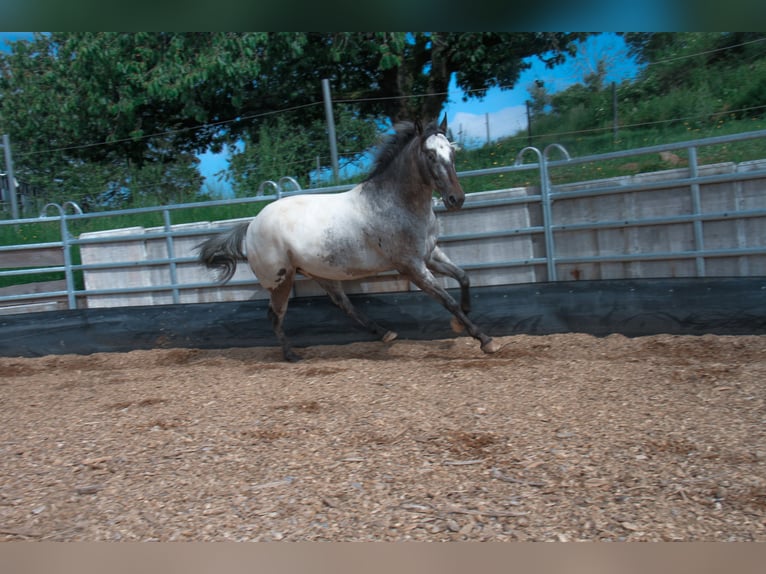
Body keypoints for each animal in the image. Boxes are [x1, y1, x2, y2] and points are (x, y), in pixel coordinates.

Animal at [195, 115, 500, 362]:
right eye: (430, 155)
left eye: (451, 152)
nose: (456, 199)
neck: (395, 203)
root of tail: (250, 226)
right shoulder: (412, 267)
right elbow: (447, 301)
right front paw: (485, 340)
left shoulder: (430, 255)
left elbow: (464, 277)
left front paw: (463, 319)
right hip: (281, 279)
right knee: (275, 315)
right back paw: (291, 355)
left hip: (321, 273)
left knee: (344, 305)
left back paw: (386, 333)